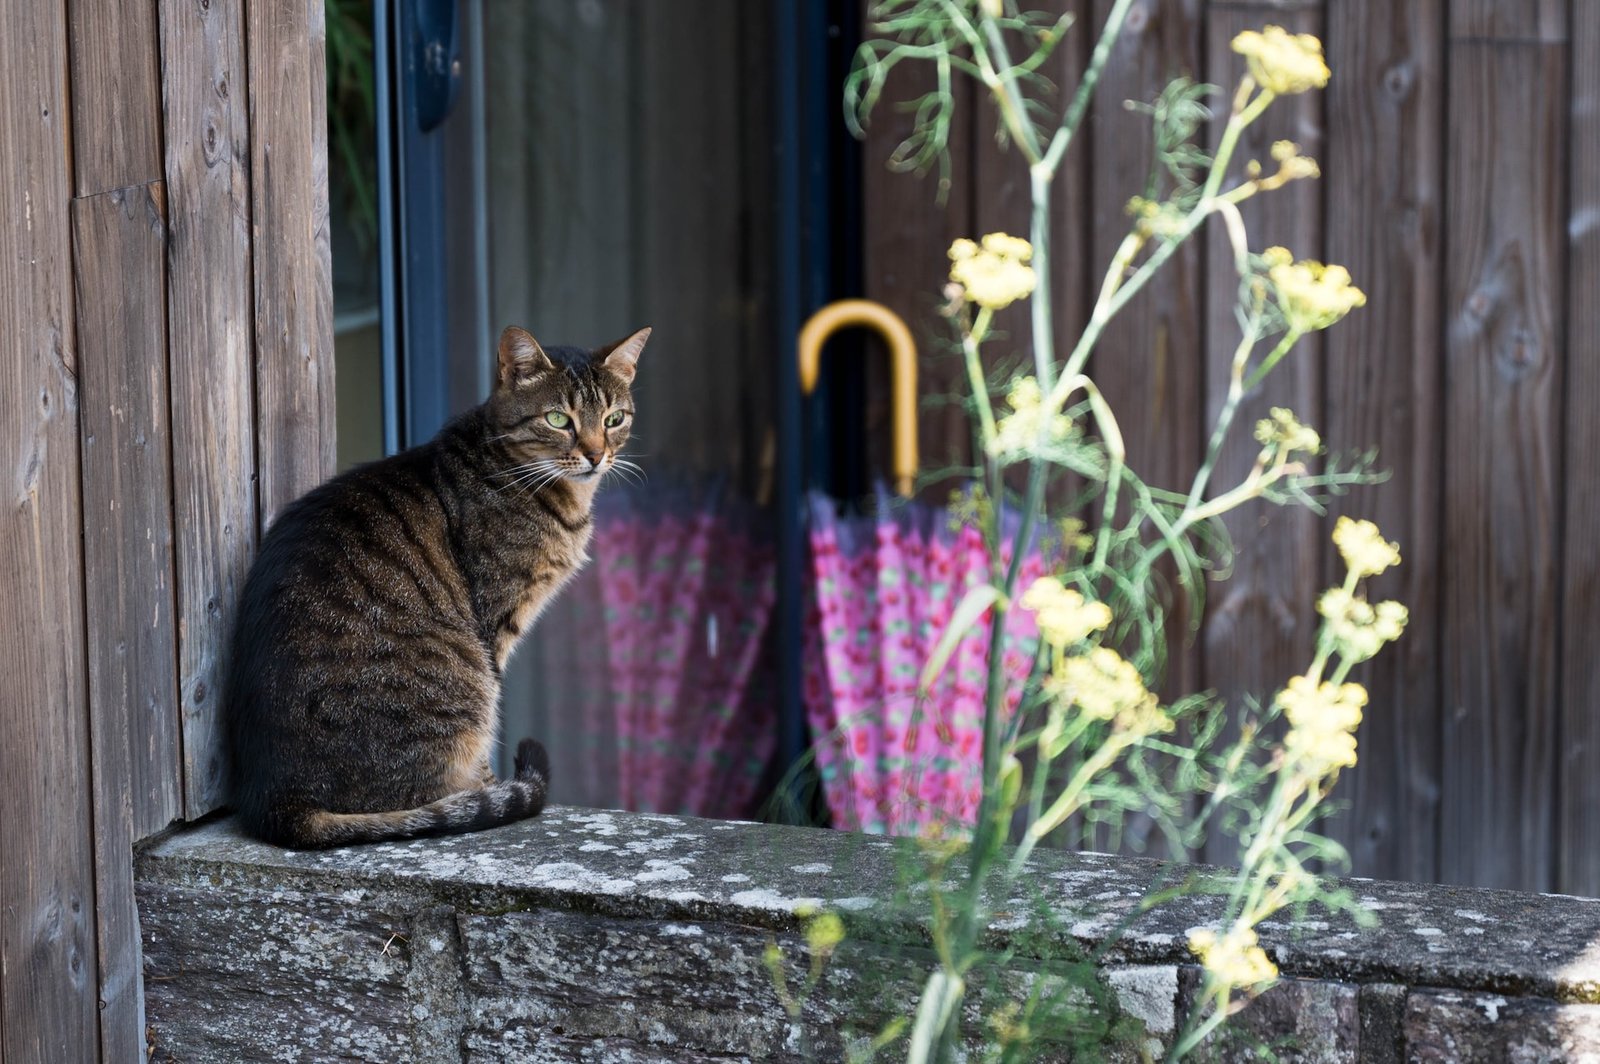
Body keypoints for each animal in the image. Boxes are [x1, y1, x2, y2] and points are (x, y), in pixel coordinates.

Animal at [227, 323, 649, 844]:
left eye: (613, 419)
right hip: (465, 679)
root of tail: (280, 802)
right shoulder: (495, 627)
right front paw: (489, 786)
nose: (595, 455)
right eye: (557, 419)